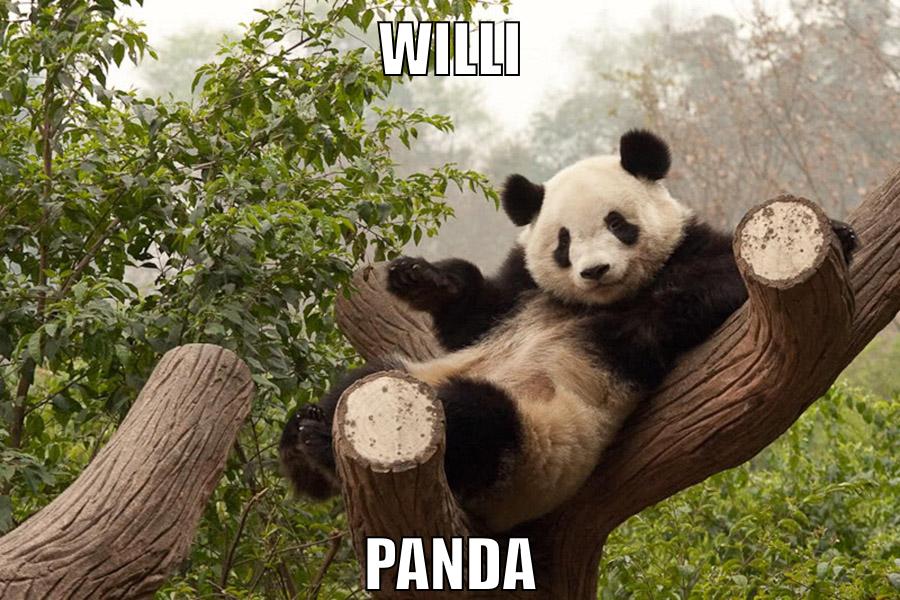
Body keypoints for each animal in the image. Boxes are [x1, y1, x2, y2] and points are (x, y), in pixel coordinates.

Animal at [280, 130, 858, 532]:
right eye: (563, 241)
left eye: (618, 224)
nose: (595, 271)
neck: (591, 302)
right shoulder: (521, 289)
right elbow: (472, 317)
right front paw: (417, 278)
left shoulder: (691, 257)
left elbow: (712, 287)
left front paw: (840, 232)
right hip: (419, 383)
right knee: (366, 378)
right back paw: (307, 439)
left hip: (529, 457)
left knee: (478, 418)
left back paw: (320, 445)